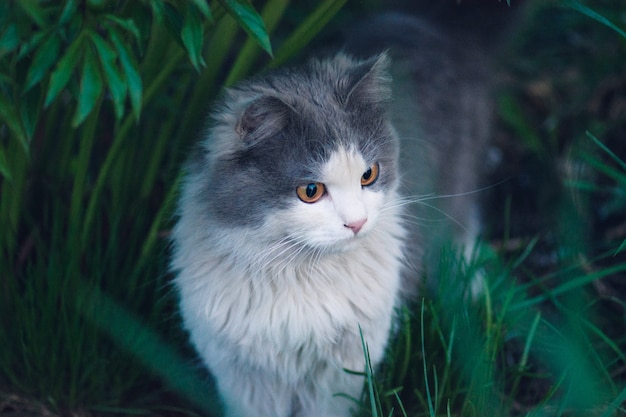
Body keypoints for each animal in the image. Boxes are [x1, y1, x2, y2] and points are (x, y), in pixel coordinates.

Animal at [169, 9, 492, 416]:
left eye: (369, 175)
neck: (298, 274)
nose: (357, 223)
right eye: (311, 191)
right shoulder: (242, 373)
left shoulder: (345, 366)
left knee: (465, 229)